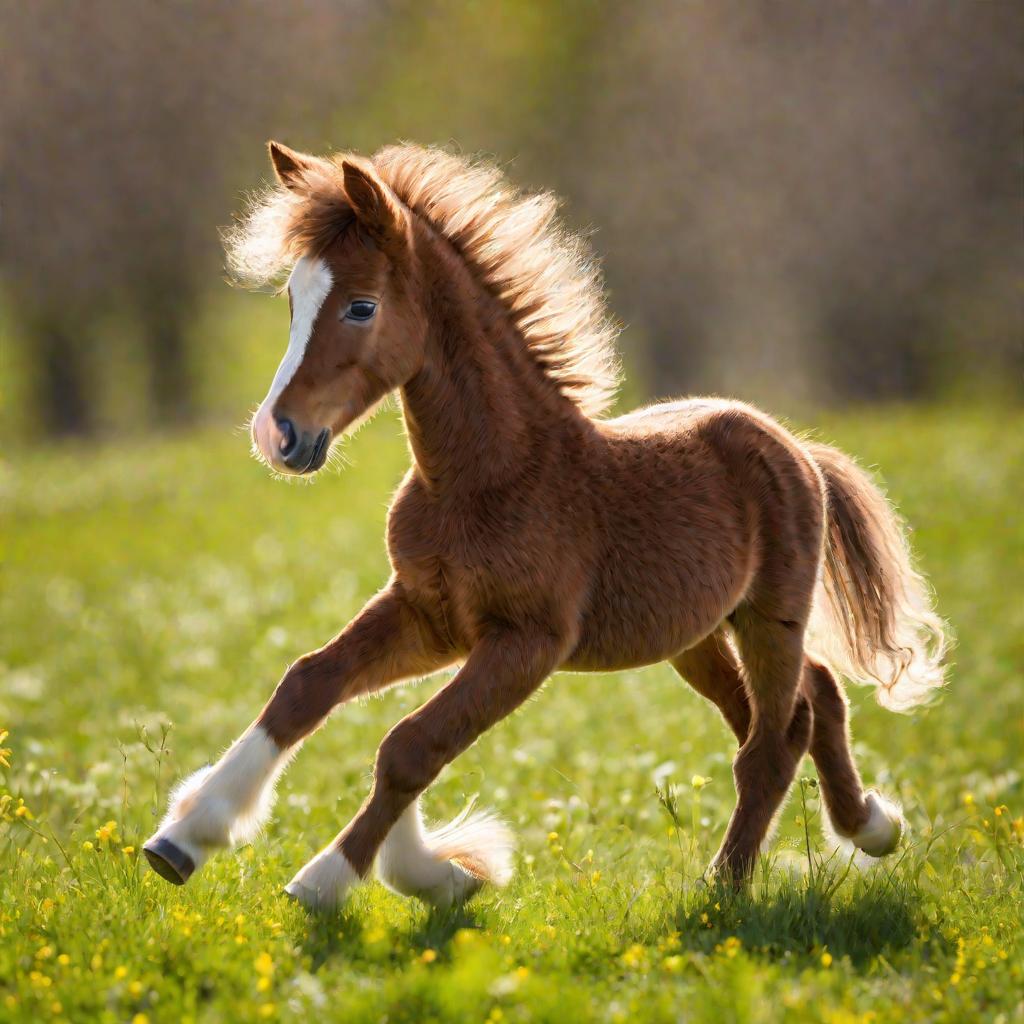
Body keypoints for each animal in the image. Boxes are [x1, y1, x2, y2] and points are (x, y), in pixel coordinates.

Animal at [142, 140, 942, 909]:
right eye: (292, 298)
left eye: (361, 307)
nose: (278, 434)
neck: (484, 478)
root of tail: (796, 445)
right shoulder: (430, 614)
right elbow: (307, 684)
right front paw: (185, 837)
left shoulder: (529, 640)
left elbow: (410, 745)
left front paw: (338, 879)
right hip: (696, 634)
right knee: (810, 697)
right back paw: (871, 825)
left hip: (769, 613)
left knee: (773, 739)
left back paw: (727, 889)